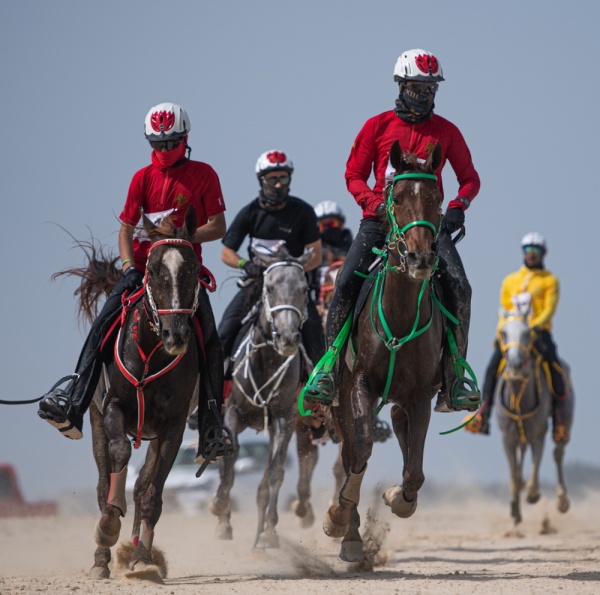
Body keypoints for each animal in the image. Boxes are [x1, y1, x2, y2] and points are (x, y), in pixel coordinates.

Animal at [59, 207, 204, 580]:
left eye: (192, 270)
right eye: (153, 270)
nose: (176, 335)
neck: (152, 351)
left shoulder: (173, 425)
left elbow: (152, 493)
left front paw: (142, 560)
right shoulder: (113, 409)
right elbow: (120, 456)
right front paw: (109, 525)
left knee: (141, 488)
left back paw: (138, 552)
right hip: (96, 420)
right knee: (102, 482)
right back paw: (101, 559)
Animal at [210, 247, 316, 548]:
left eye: (304, 289)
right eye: (269, 287)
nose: (288, 337)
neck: (267, 360)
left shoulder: (284, 419)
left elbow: (275, 473)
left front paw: (268, 532)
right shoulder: (232, 414)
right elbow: (229, 463)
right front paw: (221, 512)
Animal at [324, 141, 446, 564]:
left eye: (437, 198)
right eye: (396, 197)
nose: (419, 258)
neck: (399, 317)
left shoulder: (421, 394)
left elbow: (415, 473)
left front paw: (398, 498)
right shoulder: (360, 384)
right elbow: (358, 453)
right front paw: (339, 519)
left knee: (396, 426)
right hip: (339, 399)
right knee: (349, 453)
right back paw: (350, 535)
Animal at [494, 312, 576, 528]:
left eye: (527, 332)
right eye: (504, 333)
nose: (515, 364)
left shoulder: (539, 433)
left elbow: (536, 466)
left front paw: (532, 495)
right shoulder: (507, 437)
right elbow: (514, 475)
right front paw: (515, 513)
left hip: (565, 416)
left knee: (558, 452)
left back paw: (562, 502)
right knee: (522, 454)